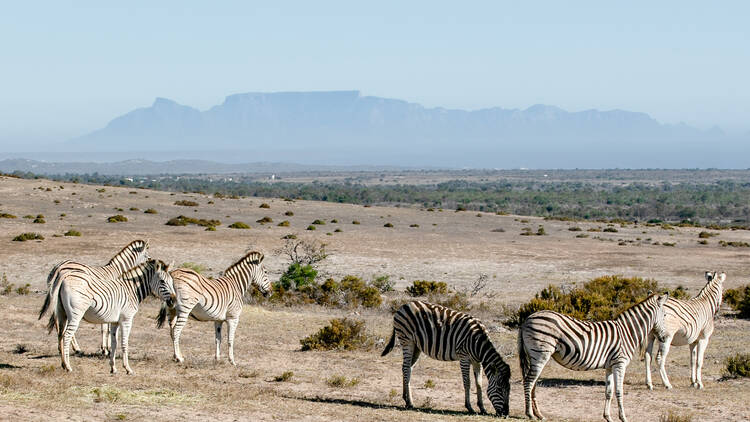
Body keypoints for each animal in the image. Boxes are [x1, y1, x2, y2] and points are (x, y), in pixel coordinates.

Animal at [384, 300, 516, 416]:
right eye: (499, 389)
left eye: (509, 390)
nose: (505, 414)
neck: (478, 343)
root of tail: (404, 305)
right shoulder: (464, 357)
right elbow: (467, 382)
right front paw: (470, 407)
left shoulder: (477, 361)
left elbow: (479, 383)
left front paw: (482, 408)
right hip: (407, 341)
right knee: (406, 368)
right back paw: (410, 402)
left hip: (416, 346)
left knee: (407, 368)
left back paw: (406, 398)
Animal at [520, 292, 672, 422]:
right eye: (665, 315)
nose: (665, 337)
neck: (627, 332)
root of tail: (527, 319)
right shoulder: (620, 364)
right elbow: (619, 391)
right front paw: (623, 417)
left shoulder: (610, 366)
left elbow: (609, 392)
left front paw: (608, 417)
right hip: (540, 353)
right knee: (528, 382)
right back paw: (530, 414)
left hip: (536, 356)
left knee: (533, 383)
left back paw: (539, 415)